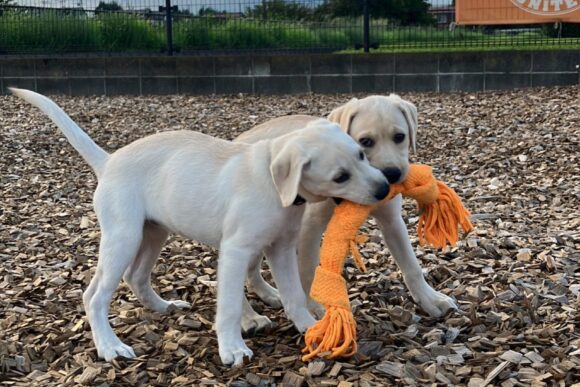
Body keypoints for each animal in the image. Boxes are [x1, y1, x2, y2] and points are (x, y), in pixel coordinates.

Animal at [10, 88, 390, 366]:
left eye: (361, 153)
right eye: (340, 176)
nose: (385, 188)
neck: (270, 179)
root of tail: (110, 161)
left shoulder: (281, 249)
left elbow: (294, 296)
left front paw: (311, 329)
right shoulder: (236, 251)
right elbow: (230, 305)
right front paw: (233, 348)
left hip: (154, 232)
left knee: (136, 276)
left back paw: (163, 307)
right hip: (123, 237)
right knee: (94, 295)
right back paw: (109, 347)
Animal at [238, 96, 456, 322]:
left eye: (399, 137)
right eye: (366, 141)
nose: (391, 176)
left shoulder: (392, 221)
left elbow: (411, 265)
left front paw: (431, 299)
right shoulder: (309, 228)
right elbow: (307, 271)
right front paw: (314, 308)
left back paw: (268, 293)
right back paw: (249, 318)